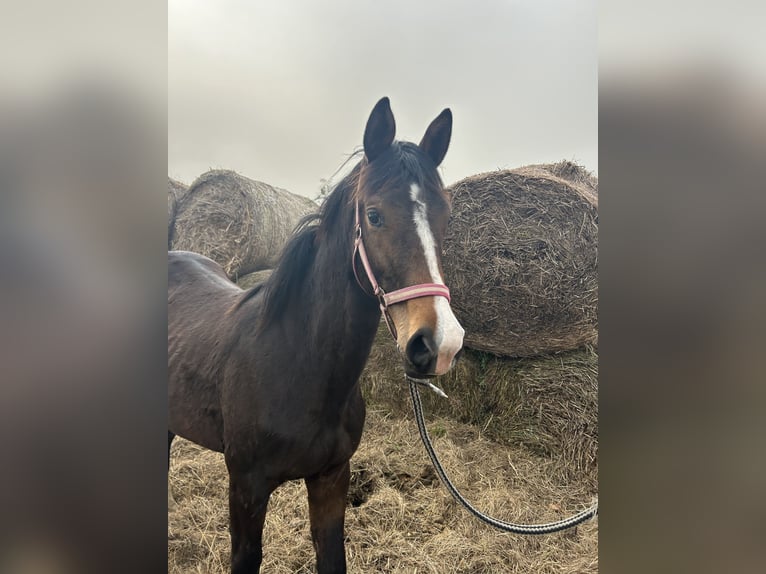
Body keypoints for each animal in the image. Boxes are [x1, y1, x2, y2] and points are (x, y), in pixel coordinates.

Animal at [169, 97, 464, 572]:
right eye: (374, 215)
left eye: (445, 217)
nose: (439, 343)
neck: (298, 364)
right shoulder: (246, 488)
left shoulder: (331, 479)